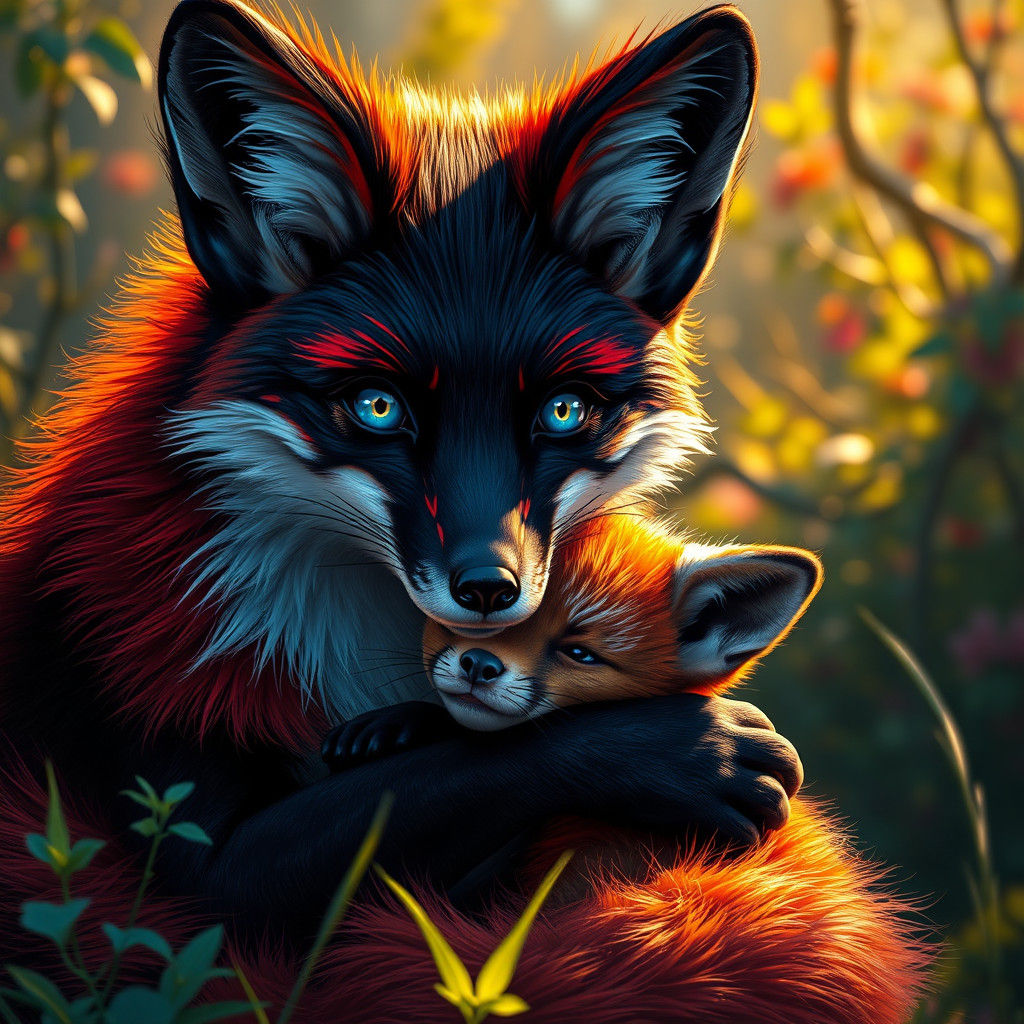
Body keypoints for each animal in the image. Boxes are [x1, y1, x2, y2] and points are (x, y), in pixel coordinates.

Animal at [0, 0, 807, 951]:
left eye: (564, 411)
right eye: (378, 407)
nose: (489, 591)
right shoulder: (174, 803)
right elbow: (474, 766)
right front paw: (689, 750)